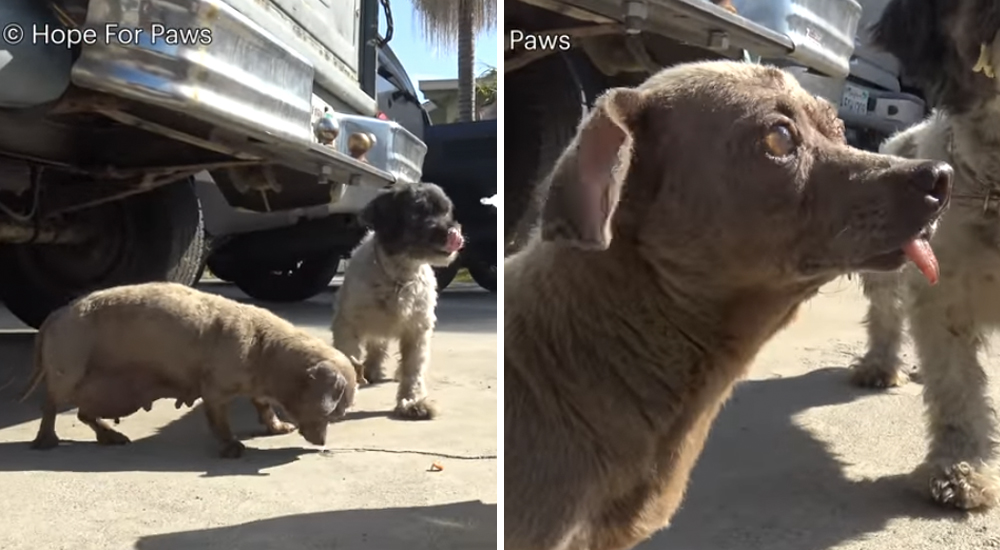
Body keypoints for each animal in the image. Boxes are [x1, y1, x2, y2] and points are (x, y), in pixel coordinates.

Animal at [21, 282, 358, 460]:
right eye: (333, 414)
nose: (323, 444)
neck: (264, 348)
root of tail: (55, 316)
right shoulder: (215, 390)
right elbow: (219, 419)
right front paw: (232, 447)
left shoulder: (257, 389)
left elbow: (263, 406)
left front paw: (278, 427)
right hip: (68, 370)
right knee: (51, 405)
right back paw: (46, 441)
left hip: (101, 391)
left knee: (83, 413)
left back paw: (111, 436)